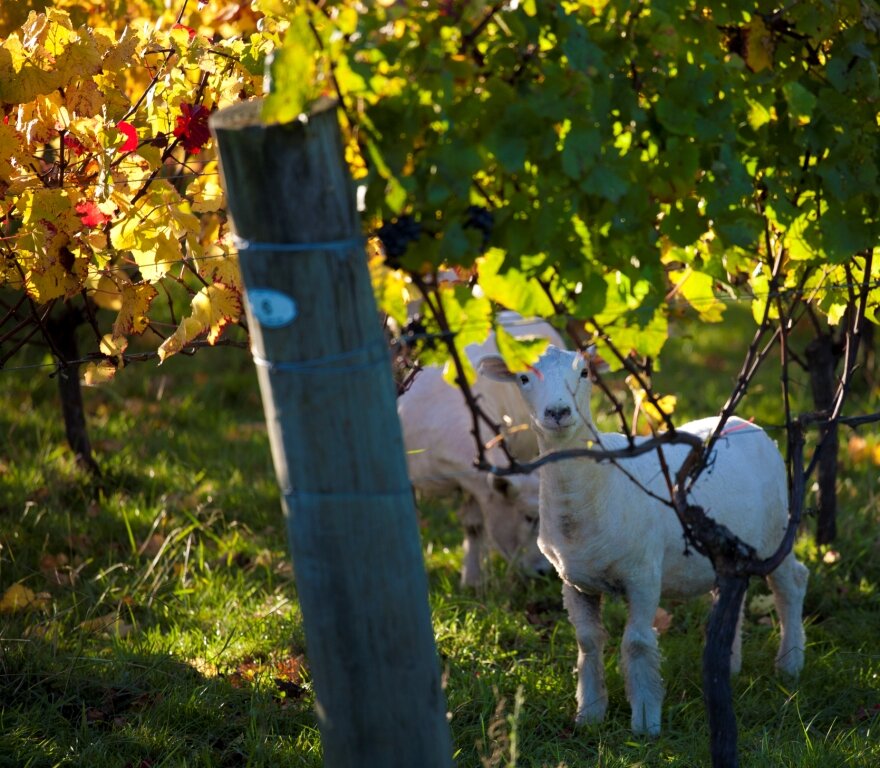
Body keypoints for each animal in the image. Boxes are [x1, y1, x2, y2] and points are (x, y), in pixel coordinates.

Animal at [478, 344, 808, 736]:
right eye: (523, 377)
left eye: (585, 373)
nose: (558, 412)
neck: (592, 491)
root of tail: (750, 424)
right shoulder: (573, 581)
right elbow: (587, 642)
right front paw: (589, 713)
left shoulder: (644, 573)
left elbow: (636, 643)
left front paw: (646, 720)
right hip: (728, 546)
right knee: (733, 594)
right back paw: (729, 666)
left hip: (776, 528)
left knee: (790, 583)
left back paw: (789, 664)